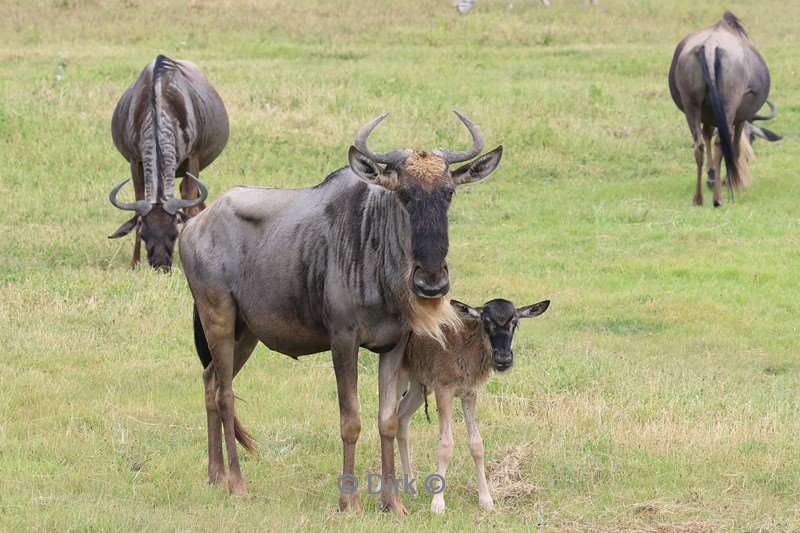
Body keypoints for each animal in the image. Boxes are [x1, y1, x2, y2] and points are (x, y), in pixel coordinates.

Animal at [396, 300, 548, 512]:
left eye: (515, 322)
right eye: (486, 321)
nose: (503, 359)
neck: (466, 349)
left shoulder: (469, 393)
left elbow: (476, 444)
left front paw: (486, 500)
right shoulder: (444, 389)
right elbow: (445, 443)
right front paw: (438, 503)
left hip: (419, 385)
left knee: (402, 416)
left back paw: (411, 487)